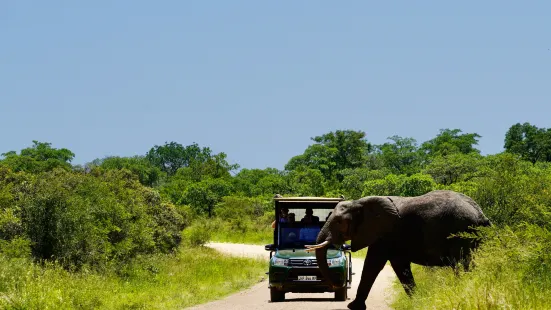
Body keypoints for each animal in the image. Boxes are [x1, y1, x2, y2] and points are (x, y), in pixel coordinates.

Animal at [306, 189, 492, 310]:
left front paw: (353, 307)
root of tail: (481, 214)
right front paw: (417, 301)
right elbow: (399, 266)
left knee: (462, 265)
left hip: (462, 233)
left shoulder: (386, 233)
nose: (338, 284)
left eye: (338, 221)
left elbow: (373, 264)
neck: (358, 202)